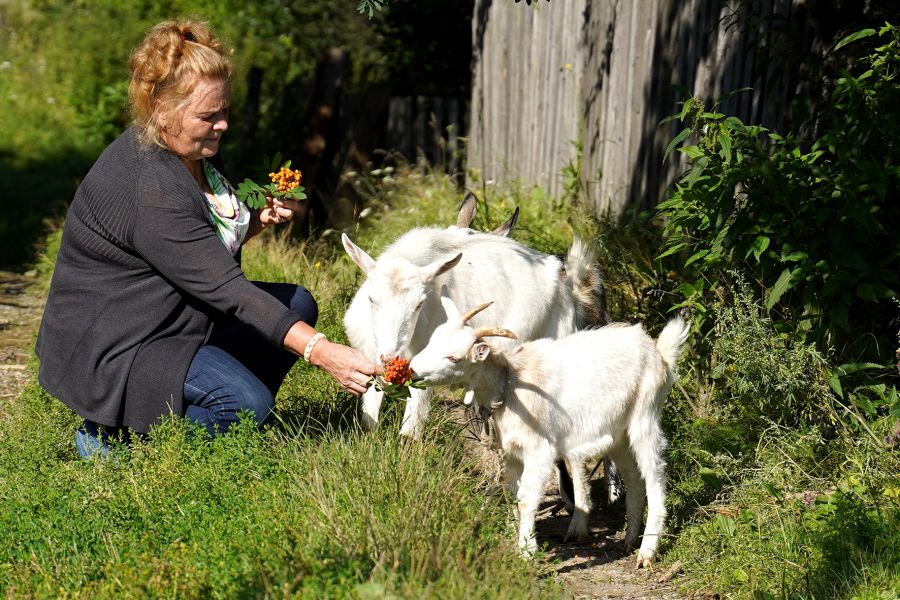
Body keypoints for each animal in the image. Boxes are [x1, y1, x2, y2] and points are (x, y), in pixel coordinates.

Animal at [408, 298, 688, 564]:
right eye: (431, 341)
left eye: (454, 357)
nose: (411, 370)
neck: (510, 384)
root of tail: (658, 353)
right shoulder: (511, 453)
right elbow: (513, 495)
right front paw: (517, 542)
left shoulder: (539, 450)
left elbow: (526, 498)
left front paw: (527, 552)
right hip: (619, 434)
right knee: (634, 479)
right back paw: (629, 541)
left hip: (645, 415)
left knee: (654, 475)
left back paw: (647, 552)